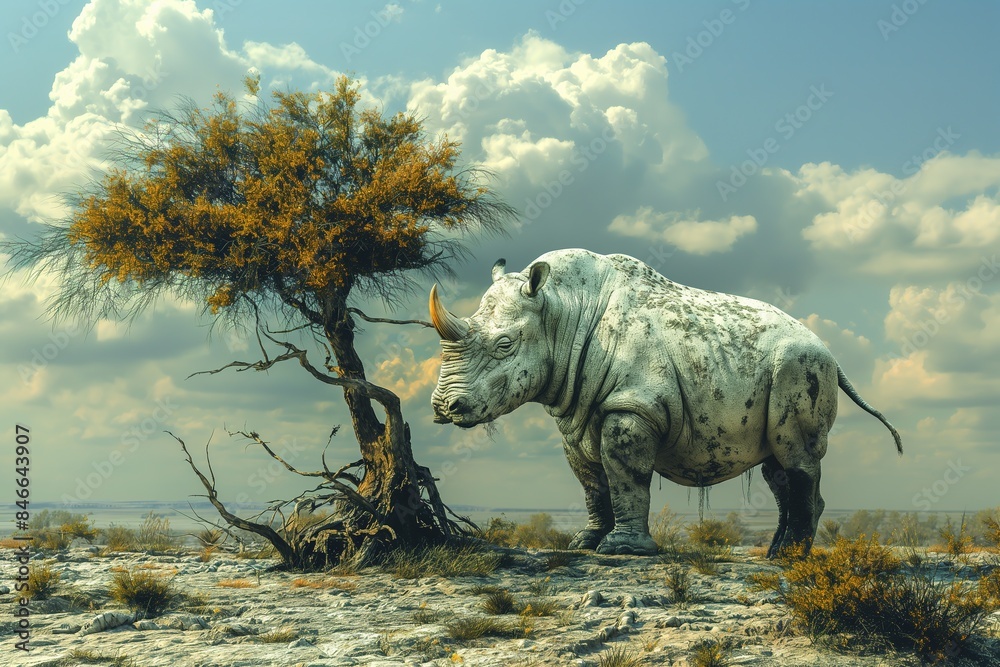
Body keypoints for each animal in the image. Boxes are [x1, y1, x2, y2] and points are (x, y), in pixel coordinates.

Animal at [429, 249, 902, 557]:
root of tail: (830, 351)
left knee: (796, 455)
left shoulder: (633, 404)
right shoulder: (574, 412)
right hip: (789, 368)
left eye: (505, 345)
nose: (443, 407)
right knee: (777, 466)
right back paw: (774, 553)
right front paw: (585, 543)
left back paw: (790, 559)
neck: (563, 311)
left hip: (801, 366)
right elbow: (592, 482)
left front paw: (623, 550)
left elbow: (625, 473)